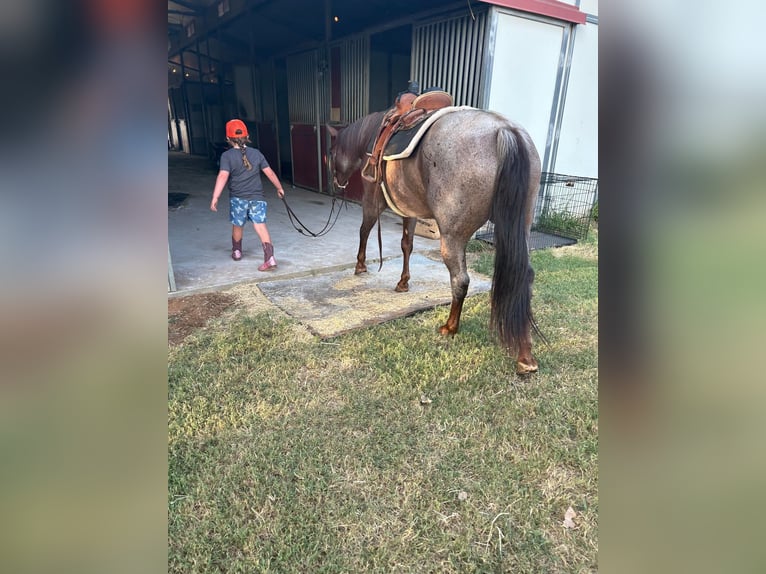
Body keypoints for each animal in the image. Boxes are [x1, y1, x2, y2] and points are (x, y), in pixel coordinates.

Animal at [328, 108, 544, 376]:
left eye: (330, 153)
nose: (336, 184)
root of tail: (504, 130)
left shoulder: (372, 199)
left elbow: (364, 230)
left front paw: (360, 265)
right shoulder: (408, 209)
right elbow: (407, 244)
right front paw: (403, 282)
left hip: (452, 236)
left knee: (460, 280)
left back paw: (450, 327)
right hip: (521, 226)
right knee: (525, 276)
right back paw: (526, 355)